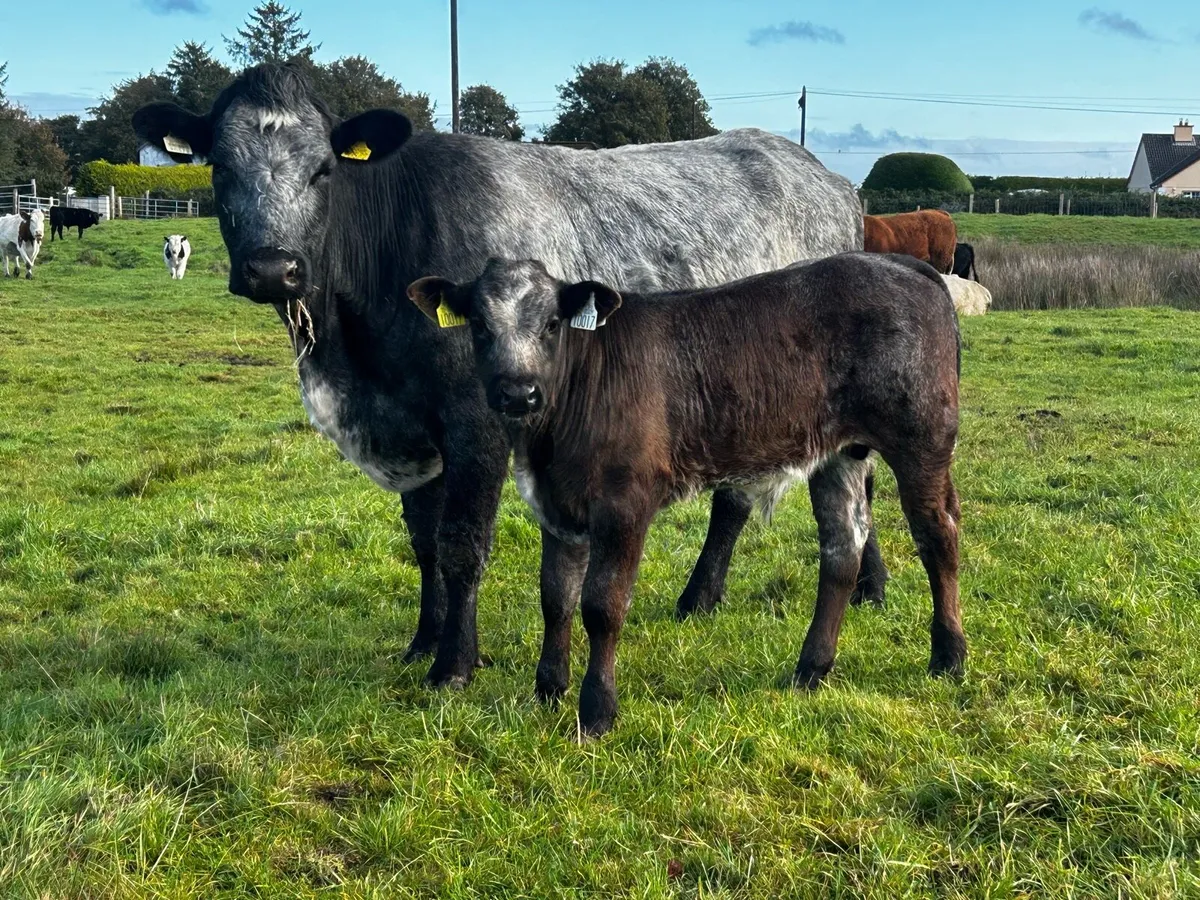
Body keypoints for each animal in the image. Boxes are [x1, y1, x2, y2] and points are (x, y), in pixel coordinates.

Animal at [131, 62, 878, 692]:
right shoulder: (413, 424)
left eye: (323, 172)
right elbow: (424, 541)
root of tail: (827, 179)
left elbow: (462, 544)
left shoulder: (478, 420)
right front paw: (423, 641)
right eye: (220, 168)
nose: (271, 268)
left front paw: (454, 664)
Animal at [407, 253, 965, 735]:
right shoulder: (558, 507)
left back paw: (949, 655)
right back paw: (811, 669)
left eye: (551, 324)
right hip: (839, 453)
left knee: (937, 535)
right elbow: (556, 597)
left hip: (922, 437)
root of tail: (896, 263)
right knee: (842, 547)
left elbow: (602, 605)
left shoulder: (624, 503)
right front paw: (547, 690)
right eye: (480, 326)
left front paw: (597, 710)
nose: (517, 393)